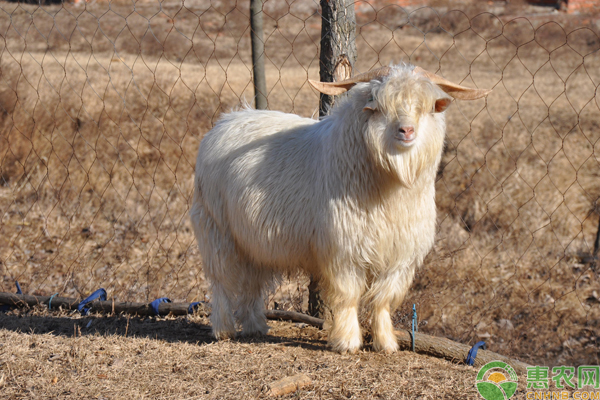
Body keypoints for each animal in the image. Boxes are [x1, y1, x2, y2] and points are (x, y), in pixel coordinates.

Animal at [191, 63, 488, 354]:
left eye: (425, 107)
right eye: (380, 106)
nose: (406, 131)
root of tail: (225, 122)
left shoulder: (399, 255)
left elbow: (383, 299)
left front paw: (386, 343)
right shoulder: (344, 250)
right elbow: (348, 296)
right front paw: (347, 342)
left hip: (253, 243)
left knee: (252, 283)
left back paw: (255, 326)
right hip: (216, 229)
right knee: (221, 282)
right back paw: (224, 329)